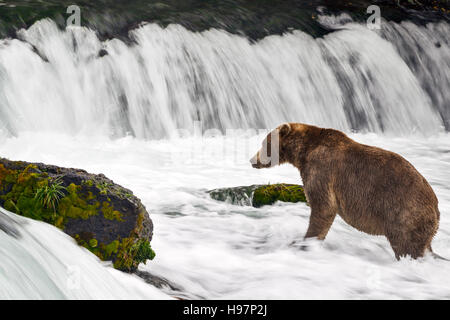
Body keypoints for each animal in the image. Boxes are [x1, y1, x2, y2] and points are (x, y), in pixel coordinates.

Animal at [250, 122, 440, 260]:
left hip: (404, 214)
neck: (303, 153)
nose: (253, 160)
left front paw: (305, 242)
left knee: (406, 246)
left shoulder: (322, 170)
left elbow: (323, 208)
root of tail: (436, 207)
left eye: (264, 143)